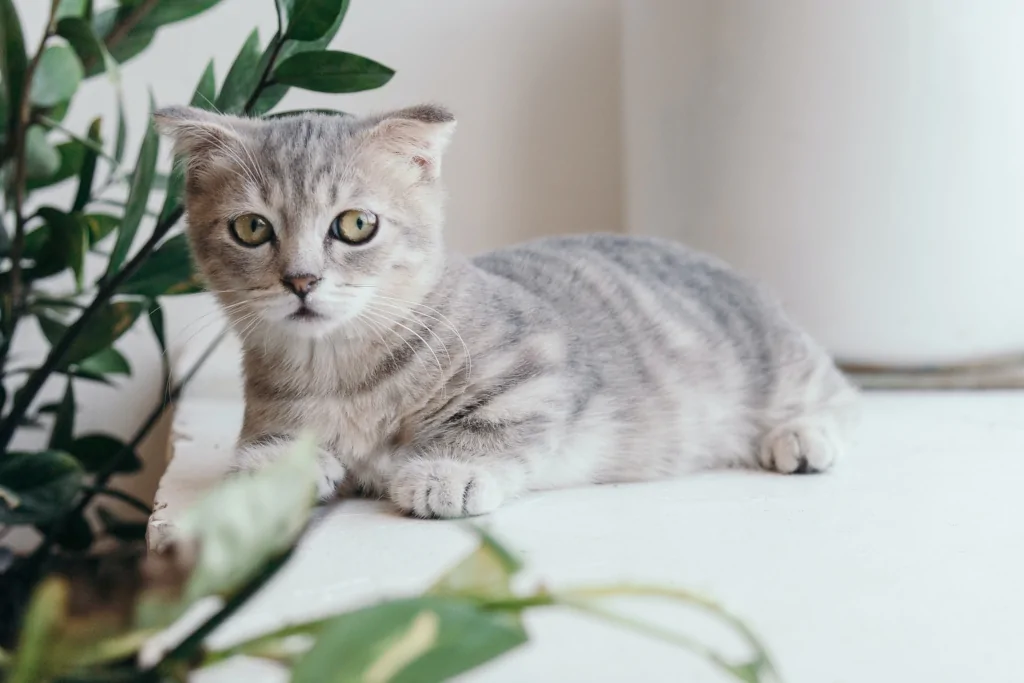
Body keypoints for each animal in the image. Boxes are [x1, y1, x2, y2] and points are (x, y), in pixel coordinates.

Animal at [151, 102, 856, 518]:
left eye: (354, 225)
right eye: (251, 229)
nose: (301, 279)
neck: (341, 373)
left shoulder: (541, 370)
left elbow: (491, 426)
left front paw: (446, 471)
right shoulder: (270, 414)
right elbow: (270, 446)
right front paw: (272, 473)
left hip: (780, 364)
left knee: (838, 394)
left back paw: (800, 435)